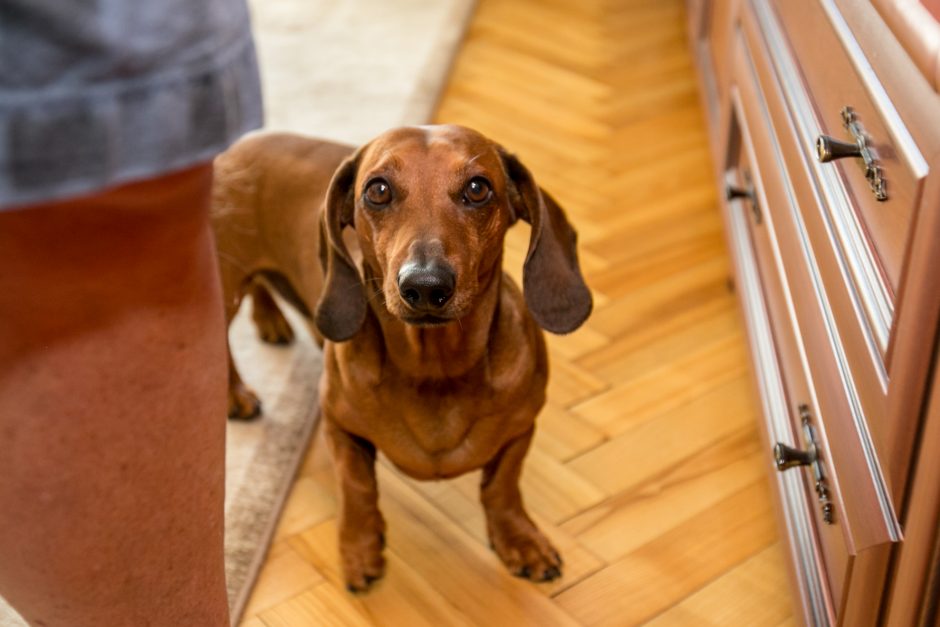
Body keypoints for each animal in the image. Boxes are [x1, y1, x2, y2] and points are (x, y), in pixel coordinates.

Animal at [213, 125, 592, 592]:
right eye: (378, 190)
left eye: (478, 188)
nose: (425, 286)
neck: (435, 370)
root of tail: (247, 141)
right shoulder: (338, 425)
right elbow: (357, 487)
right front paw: (360, 548)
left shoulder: (521, 429)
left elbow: (502, 486)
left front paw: (519, 539)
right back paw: (235, 393)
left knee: (260, 286)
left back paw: (270, 319)